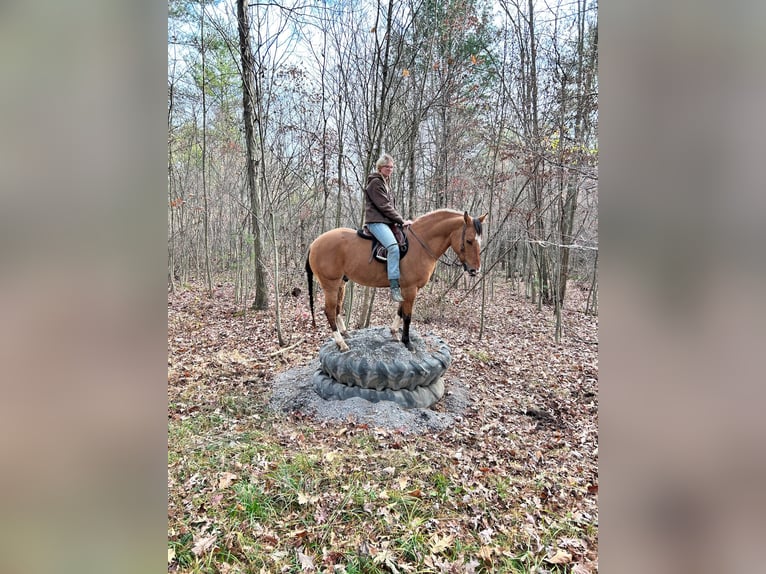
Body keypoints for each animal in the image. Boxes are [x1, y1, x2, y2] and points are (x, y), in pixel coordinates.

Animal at [304, 207, 486, 352]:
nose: (475, 270)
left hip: (341, 283)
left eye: (479, 241)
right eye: (469, 241)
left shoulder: (405, 288)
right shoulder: (410, 288)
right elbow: (407, 315)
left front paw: (394, 333)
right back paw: (341, 343)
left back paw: (345, 333)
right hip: (330, 284)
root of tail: (314, 244)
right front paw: (407, 342)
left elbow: (400, 310)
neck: (421, 244)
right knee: (329, 311)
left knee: (337, 308)